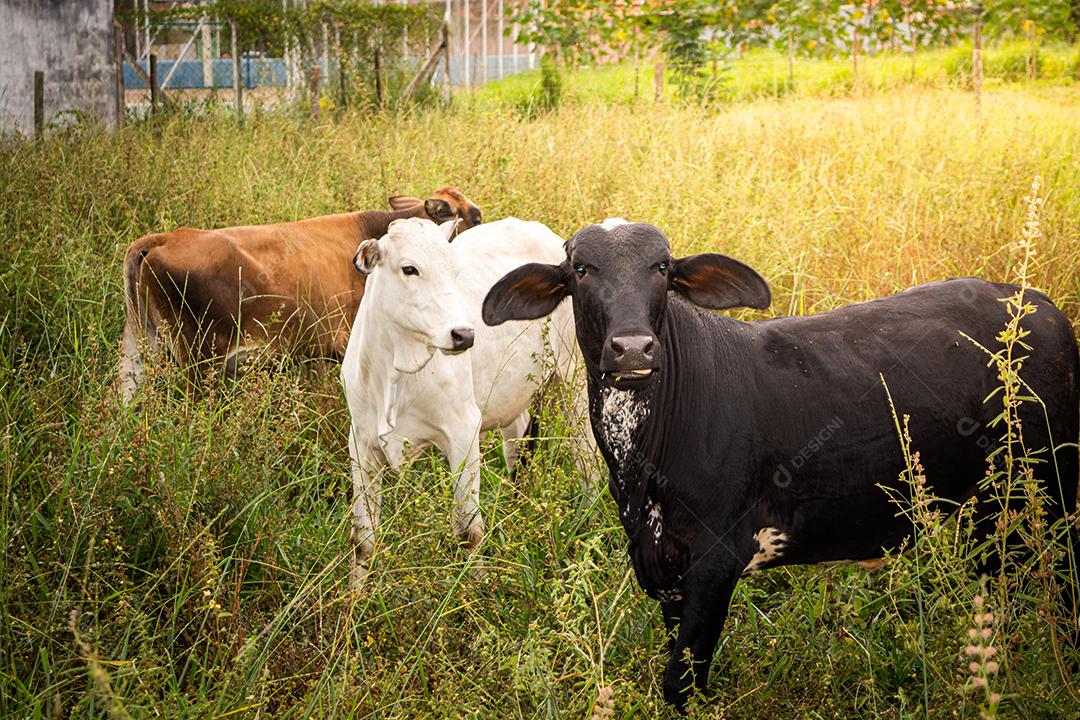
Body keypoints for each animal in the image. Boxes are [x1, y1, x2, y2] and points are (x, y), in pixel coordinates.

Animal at [341, 216, 587, 587]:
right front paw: (356, 596)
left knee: (586, 456)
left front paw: (477, 588)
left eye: (455, 271)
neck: (397, 371)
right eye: (409, 269)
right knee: (518, 445)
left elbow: (468, 532)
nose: (464, 335)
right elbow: (363, 541)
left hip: (575, 379)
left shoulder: (462, 434)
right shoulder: (361, 444)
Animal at [488, 218, 1080, 708]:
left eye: (662, 267)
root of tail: (1036, 303)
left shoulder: (717, 558)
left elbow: (681, 682)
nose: (633, 348)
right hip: (992, 508)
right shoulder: (663, 565)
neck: (643, 463)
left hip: (1053, 491)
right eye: (580, 269)